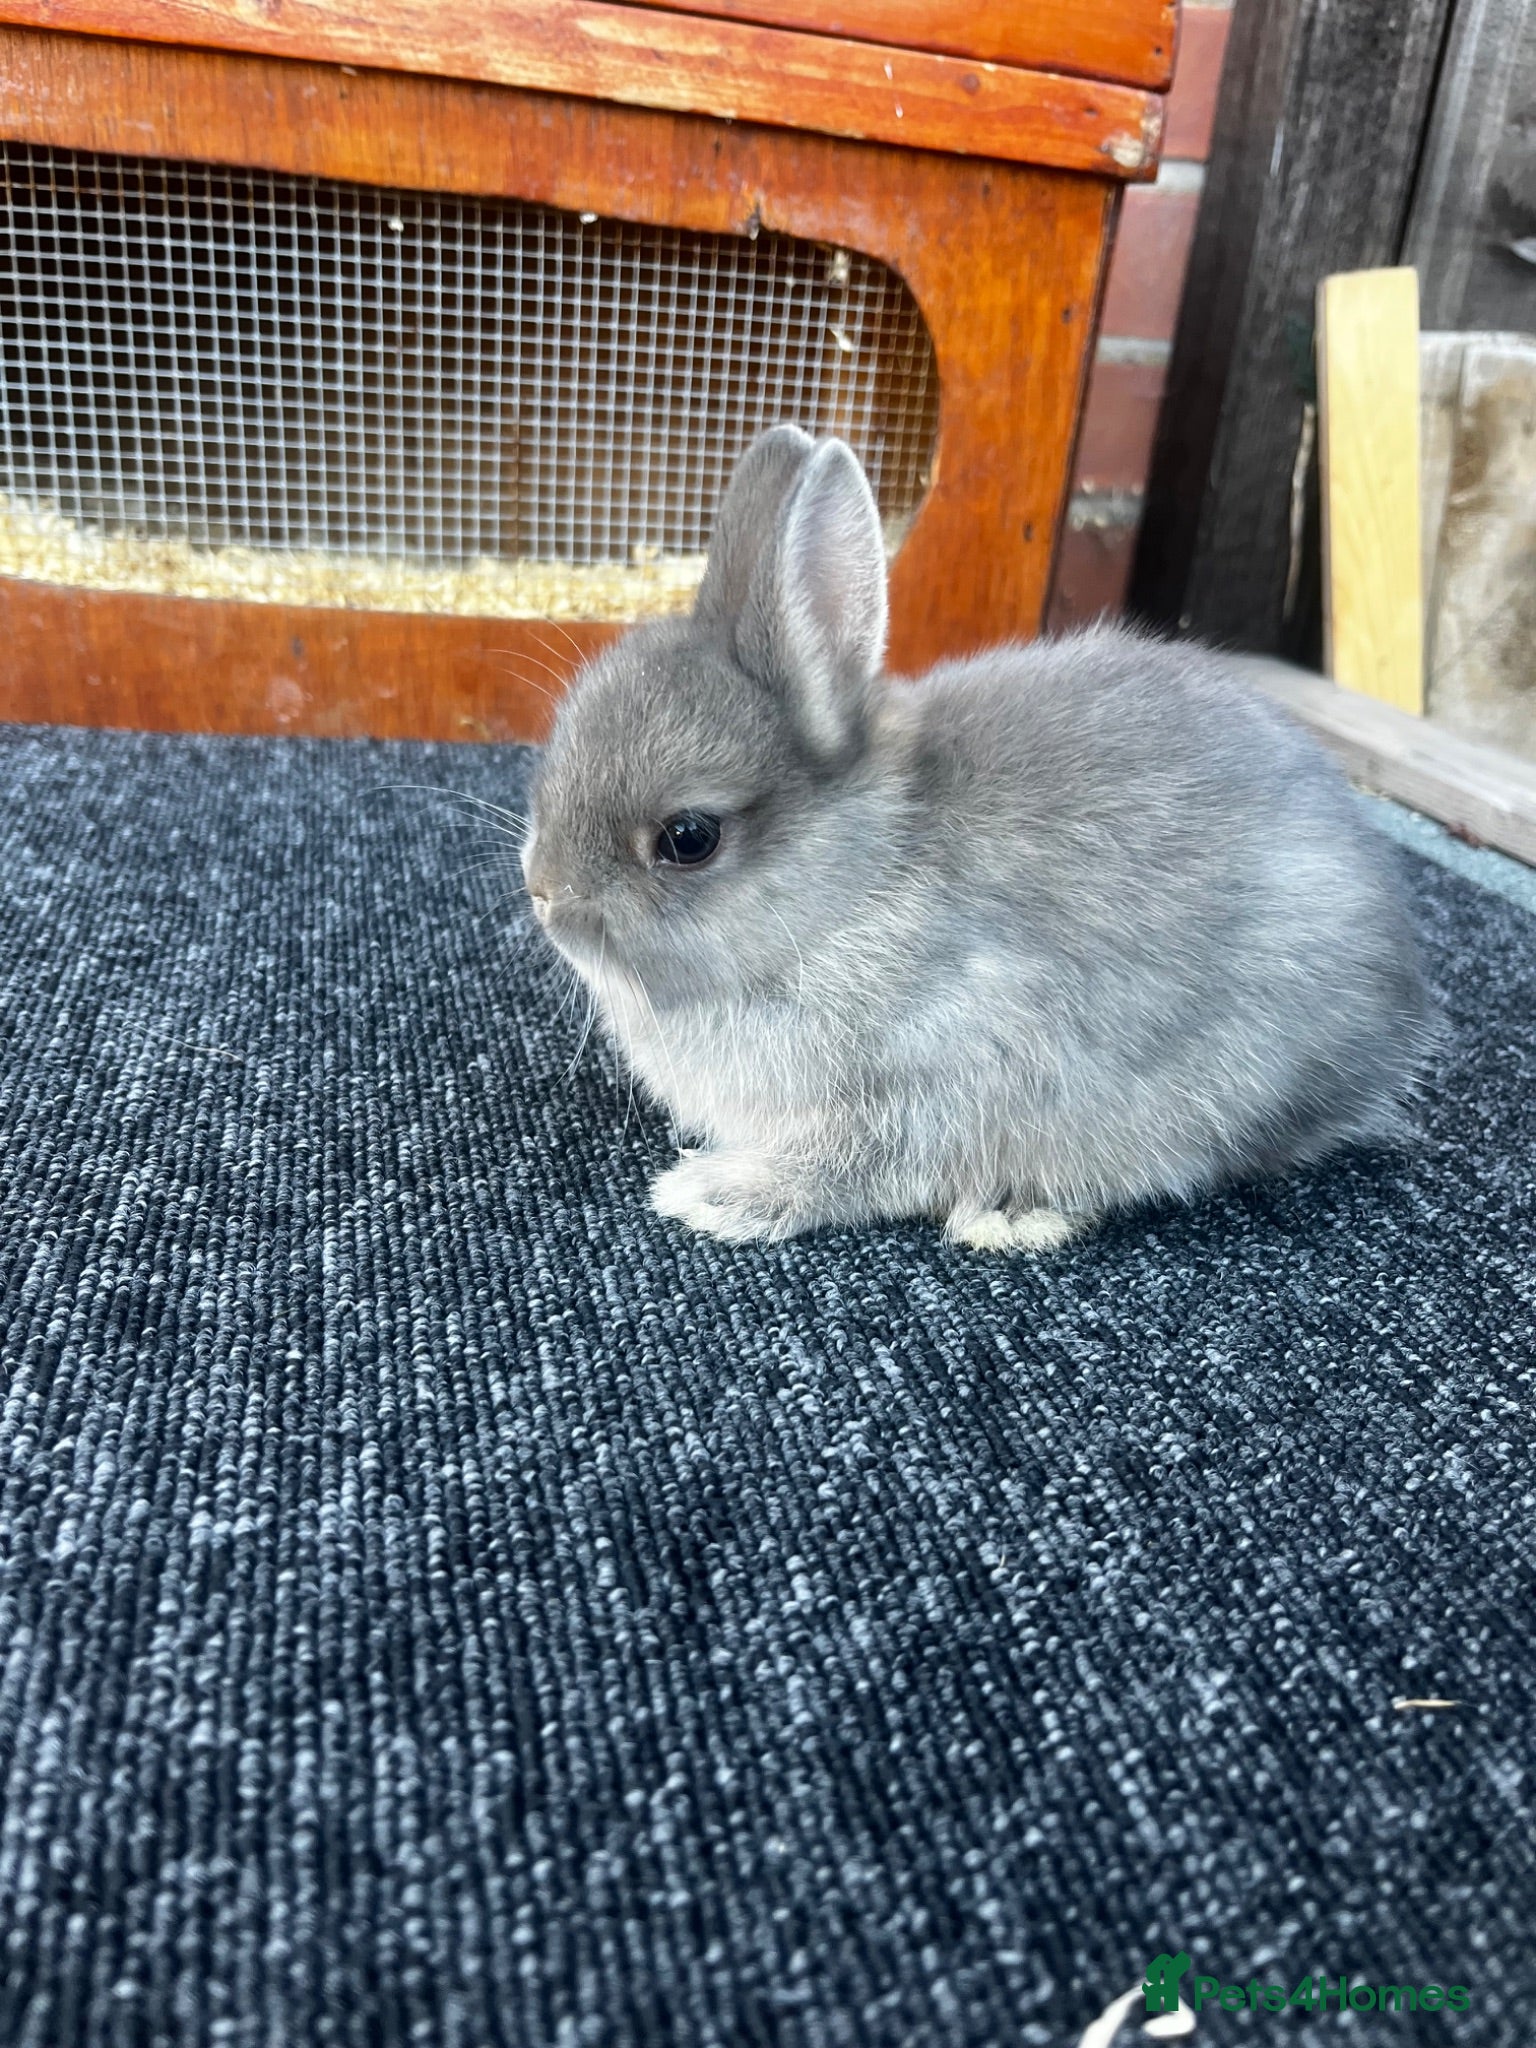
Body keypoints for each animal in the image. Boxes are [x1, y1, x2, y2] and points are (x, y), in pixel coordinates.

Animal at [520, 424, 1436, 1252]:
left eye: (688, 837)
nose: (545, 892)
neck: (845, 898)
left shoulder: (945, 1073)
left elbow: (852, 1163)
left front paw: (712, 1193)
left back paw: (1015, 1215)